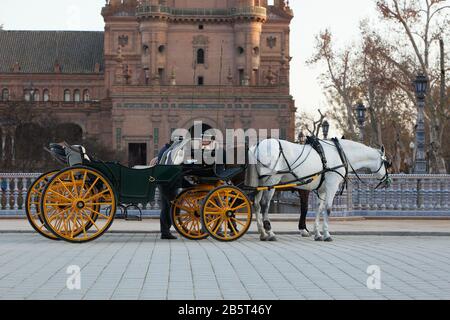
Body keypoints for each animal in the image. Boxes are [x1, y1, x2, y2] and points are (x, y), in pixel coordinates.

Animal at [248, 139, 392, 241]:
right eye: (387, 163)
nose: (388, 181)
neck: (340, 154)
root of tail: (257, 146)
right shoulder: (332, 185)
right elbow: (328, 209)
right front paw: (327, 234)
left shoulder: (322, 189)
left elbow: (319, 208)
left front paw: (317, 233)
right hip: (271, 182)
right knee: (264, 205)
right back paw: (270, 232)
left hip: (259, 184)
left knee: (256, 205)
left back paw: (262, 233)